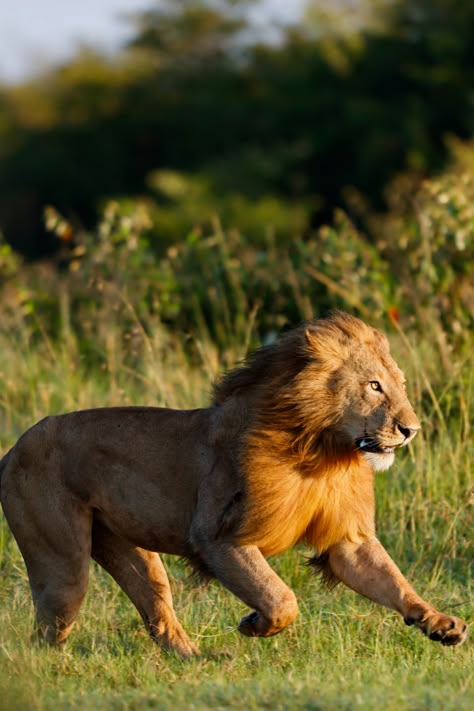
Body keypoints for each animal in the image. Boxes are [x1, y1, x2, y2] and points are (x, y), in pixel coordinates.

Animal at [0, 312, 466, 656]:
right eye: (374, 386)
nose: (411, 430)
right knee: (47, 630)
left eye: (400, 386)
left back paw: (198, 660)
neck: (322, 453)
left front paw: (441, 624)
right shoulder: (218, 537)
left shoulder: (347, 539)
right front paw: (255, 624)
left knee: (156, 611)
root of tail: (12, 449)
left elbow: (393, 581)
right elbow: (281, 598)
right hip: (63, 565)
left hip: (130, 552)